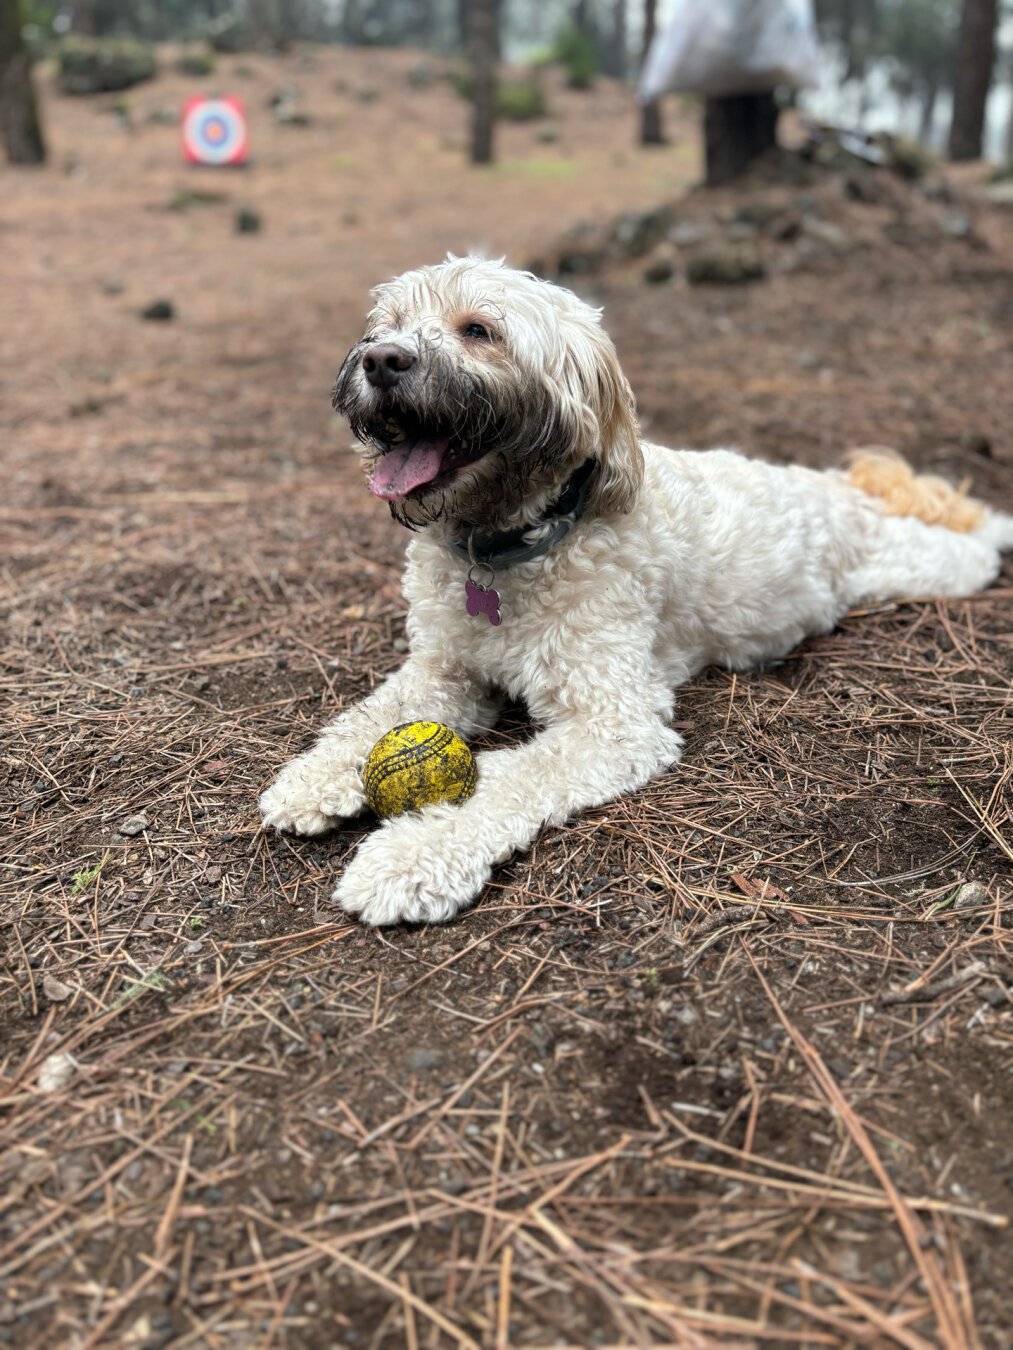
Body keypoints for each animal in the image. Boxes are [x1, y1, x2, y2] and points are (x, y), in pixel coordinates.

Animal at [259, 255, 1013, 928]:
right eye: (387, 325)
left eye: (478, 329)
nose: (381, 360)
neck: (509, 547)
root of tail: (835, 486)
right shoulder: (444, 669)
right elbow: (369, 716)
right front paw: (313, 778)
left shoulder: (610, 720)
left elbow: (510, 779)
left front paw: (408, 857)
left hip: (920, 564)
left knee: (972, 540)